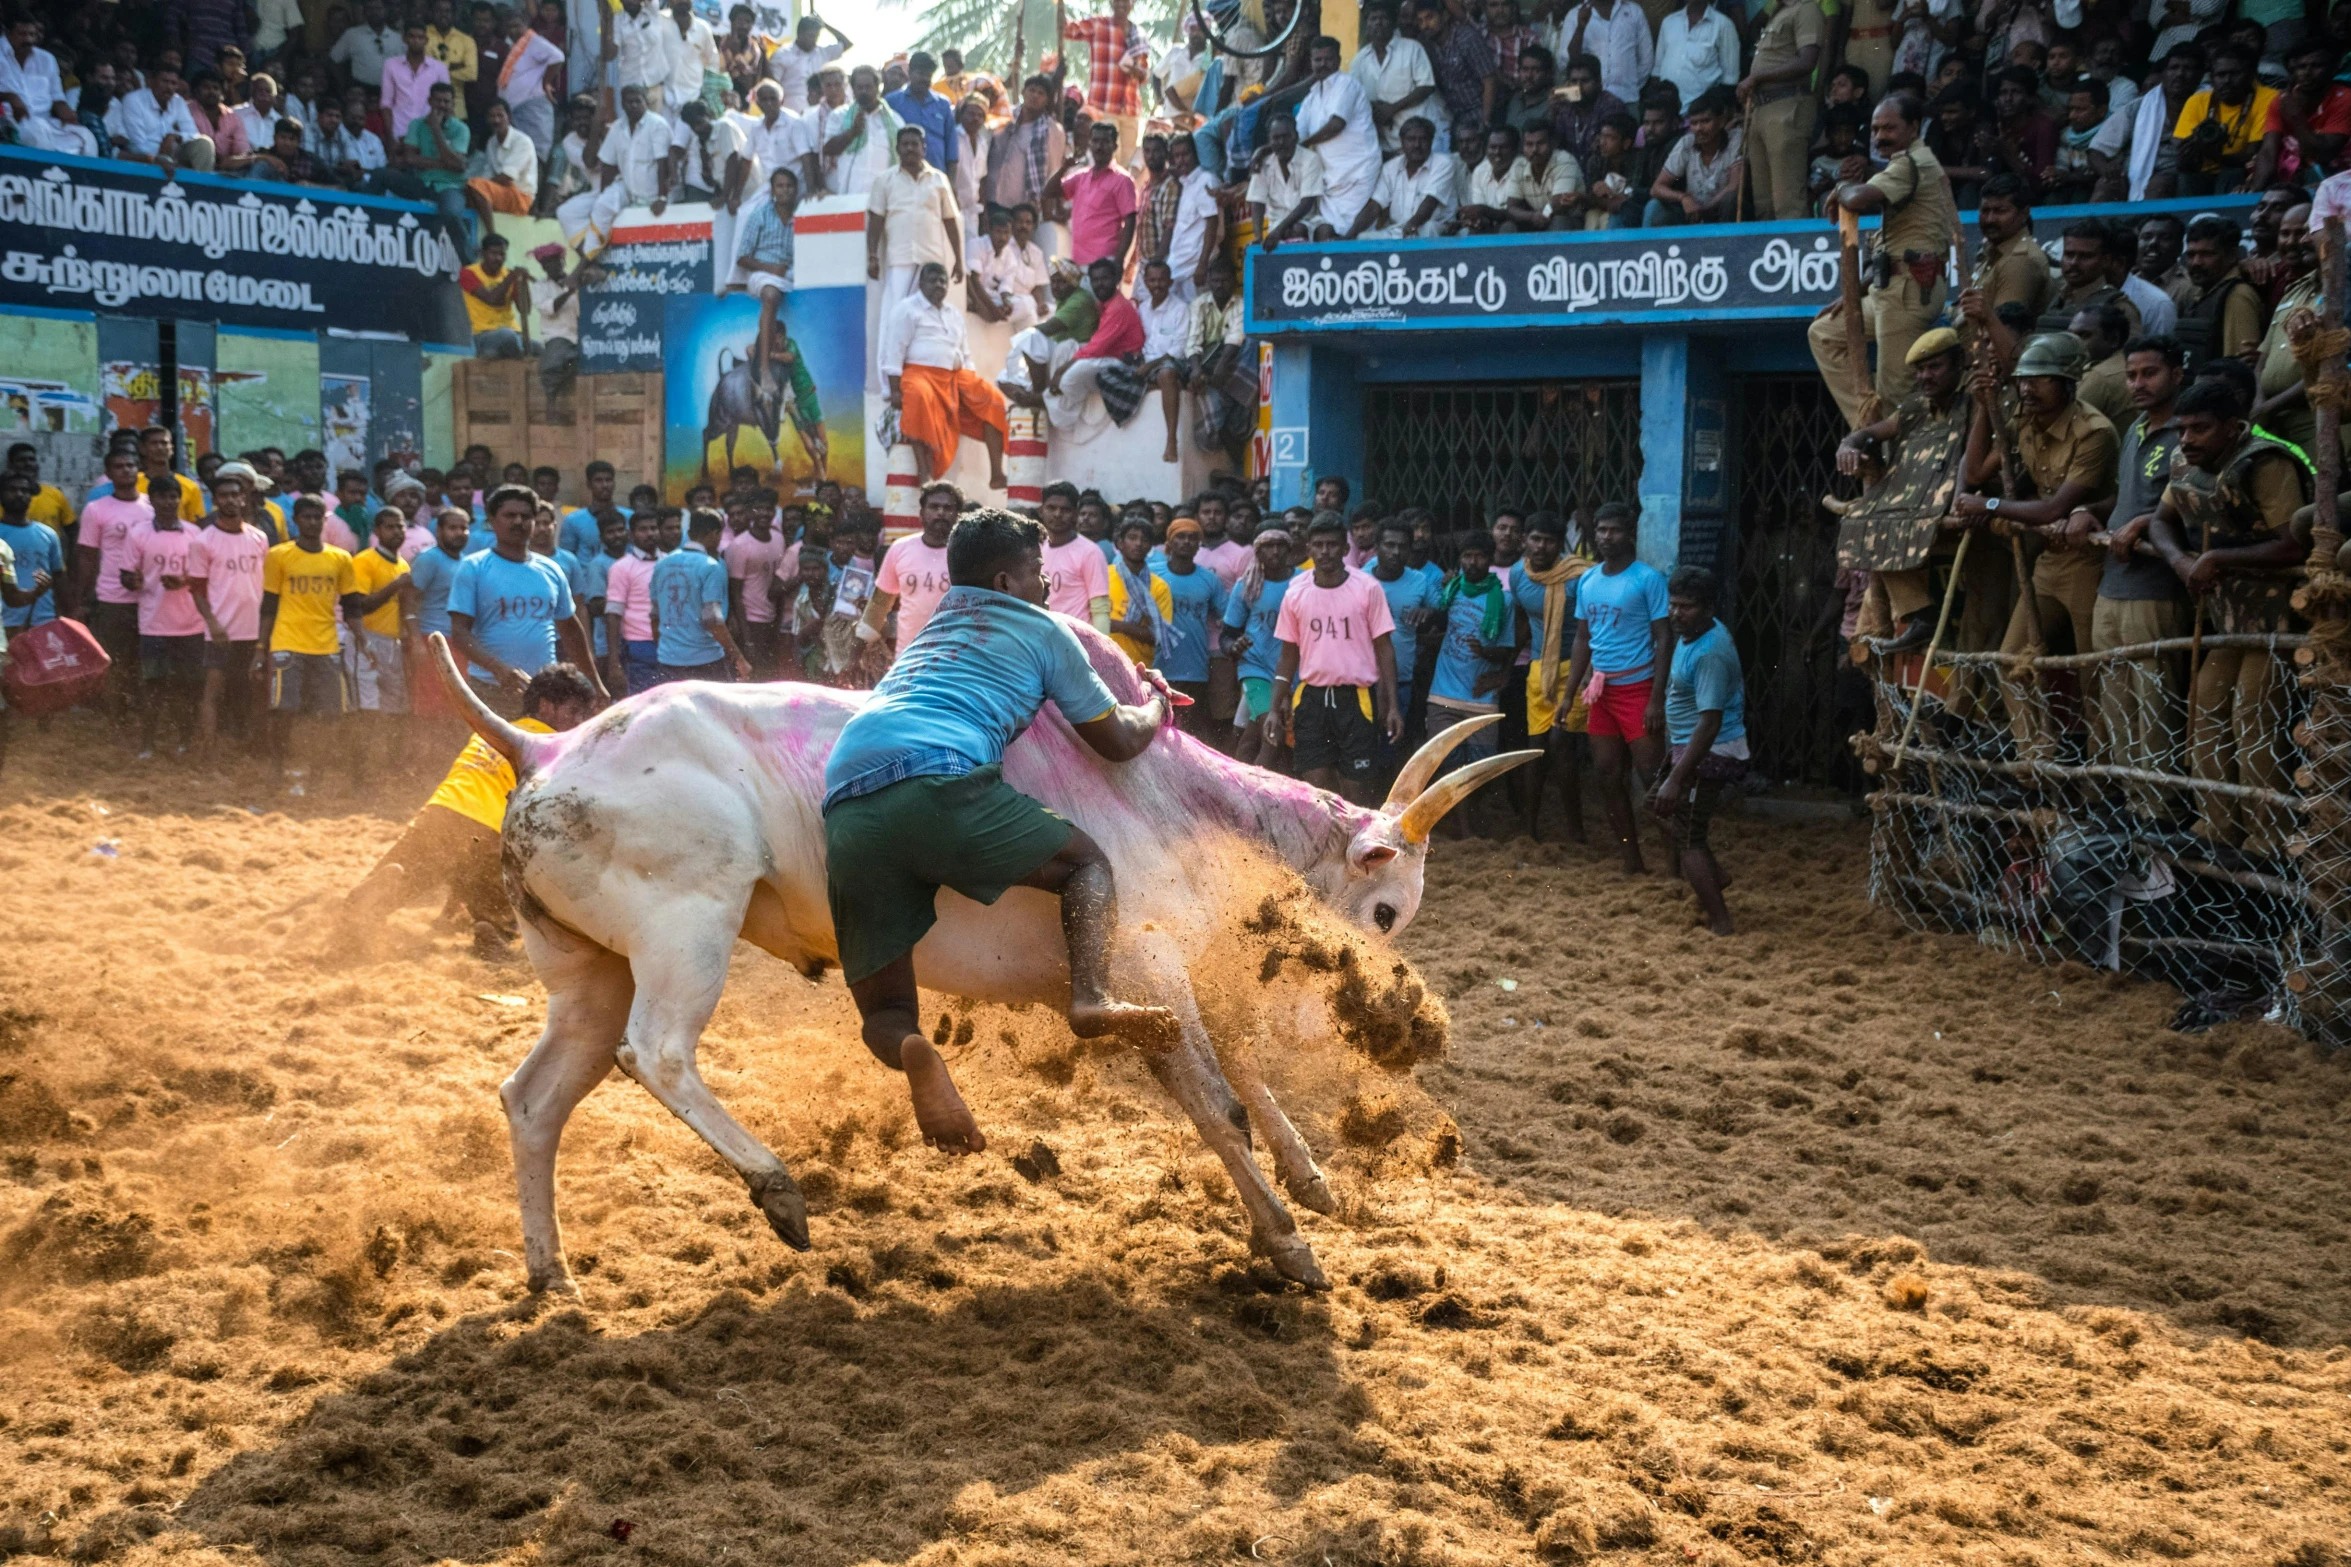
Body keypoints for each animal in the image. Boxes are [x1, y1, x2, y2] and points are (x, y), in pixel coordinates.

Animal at [430, 629, 1532, 1296]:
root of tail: (543, 751)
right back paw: (780, 1186)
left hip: (588, 968)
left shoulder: (1167, 984)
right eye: (1384, 907)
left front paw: (1309, 1187)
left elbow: (1241, 1075)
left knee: (535, 1097)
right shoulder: (1145, 972)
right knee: (655, 1055)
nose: (1372, 1002)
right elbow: (1217, 1102)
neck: (1173, 802)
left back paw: (552, 1272)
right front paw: (1289, 1245)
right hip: (687, 926)